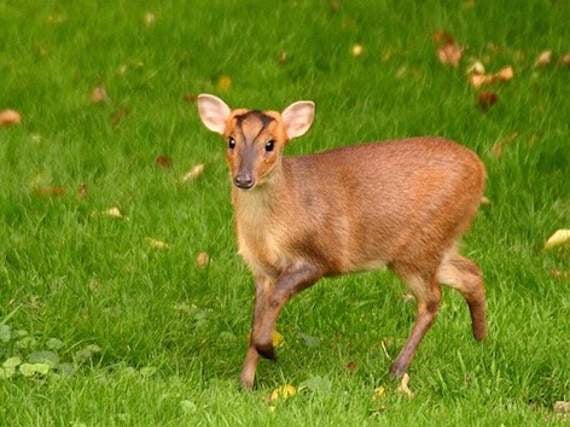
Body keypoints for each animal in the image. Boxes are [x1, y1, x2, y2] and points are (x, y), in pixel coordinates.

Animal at [195, 94, 484, 392]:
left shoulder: (319, 256)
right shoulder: (261, 269)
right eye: (231, 141)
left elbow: (276, 299)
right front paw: (245, 383)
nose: (243, 179)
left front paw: (269, 351)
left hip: (420, 245)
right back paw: (479, 338)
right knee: (470, 273)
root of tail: (479, 168)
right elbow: (257, 317)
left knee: (432, 300)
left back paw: (396, 369)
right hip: (431, 247)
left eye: (270, 144)